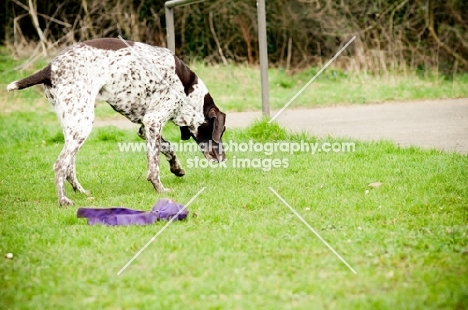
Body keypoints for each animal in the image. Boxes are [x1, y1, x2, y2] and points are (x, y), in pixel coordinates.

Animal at [7, 38, 227, 206]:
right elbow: (154, 168)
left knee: (69, 165)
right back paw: (64, 200)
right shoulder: (153, 122)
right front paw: (160, 188)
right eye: (221, 131)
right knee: (60, 165)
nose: (224, 158)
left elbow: (168, 148)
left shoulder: (145, 127)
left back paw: (80, 191)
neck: (189, 92)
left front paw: (176, 168)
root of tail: (49, 68)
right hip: (82, 124)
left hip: (73, 125)